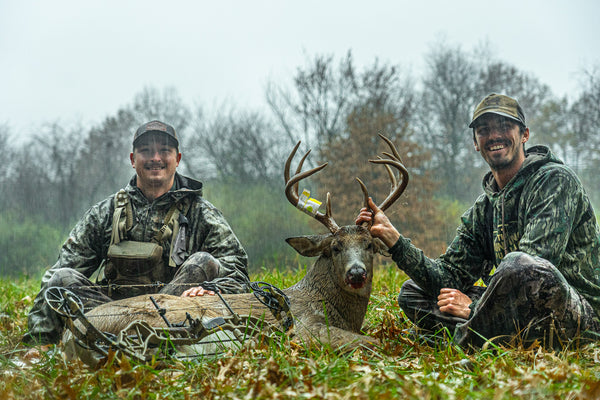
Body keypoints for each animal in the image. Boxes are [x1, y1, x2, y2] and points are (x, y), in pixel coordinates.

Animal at [59, 134, 408, 366]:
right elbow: (371, 341)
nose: (356, 273)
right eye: (335, 247)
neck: (330, 305)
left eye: (370, 246)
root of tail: (71, 332)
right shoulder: (307, 330)